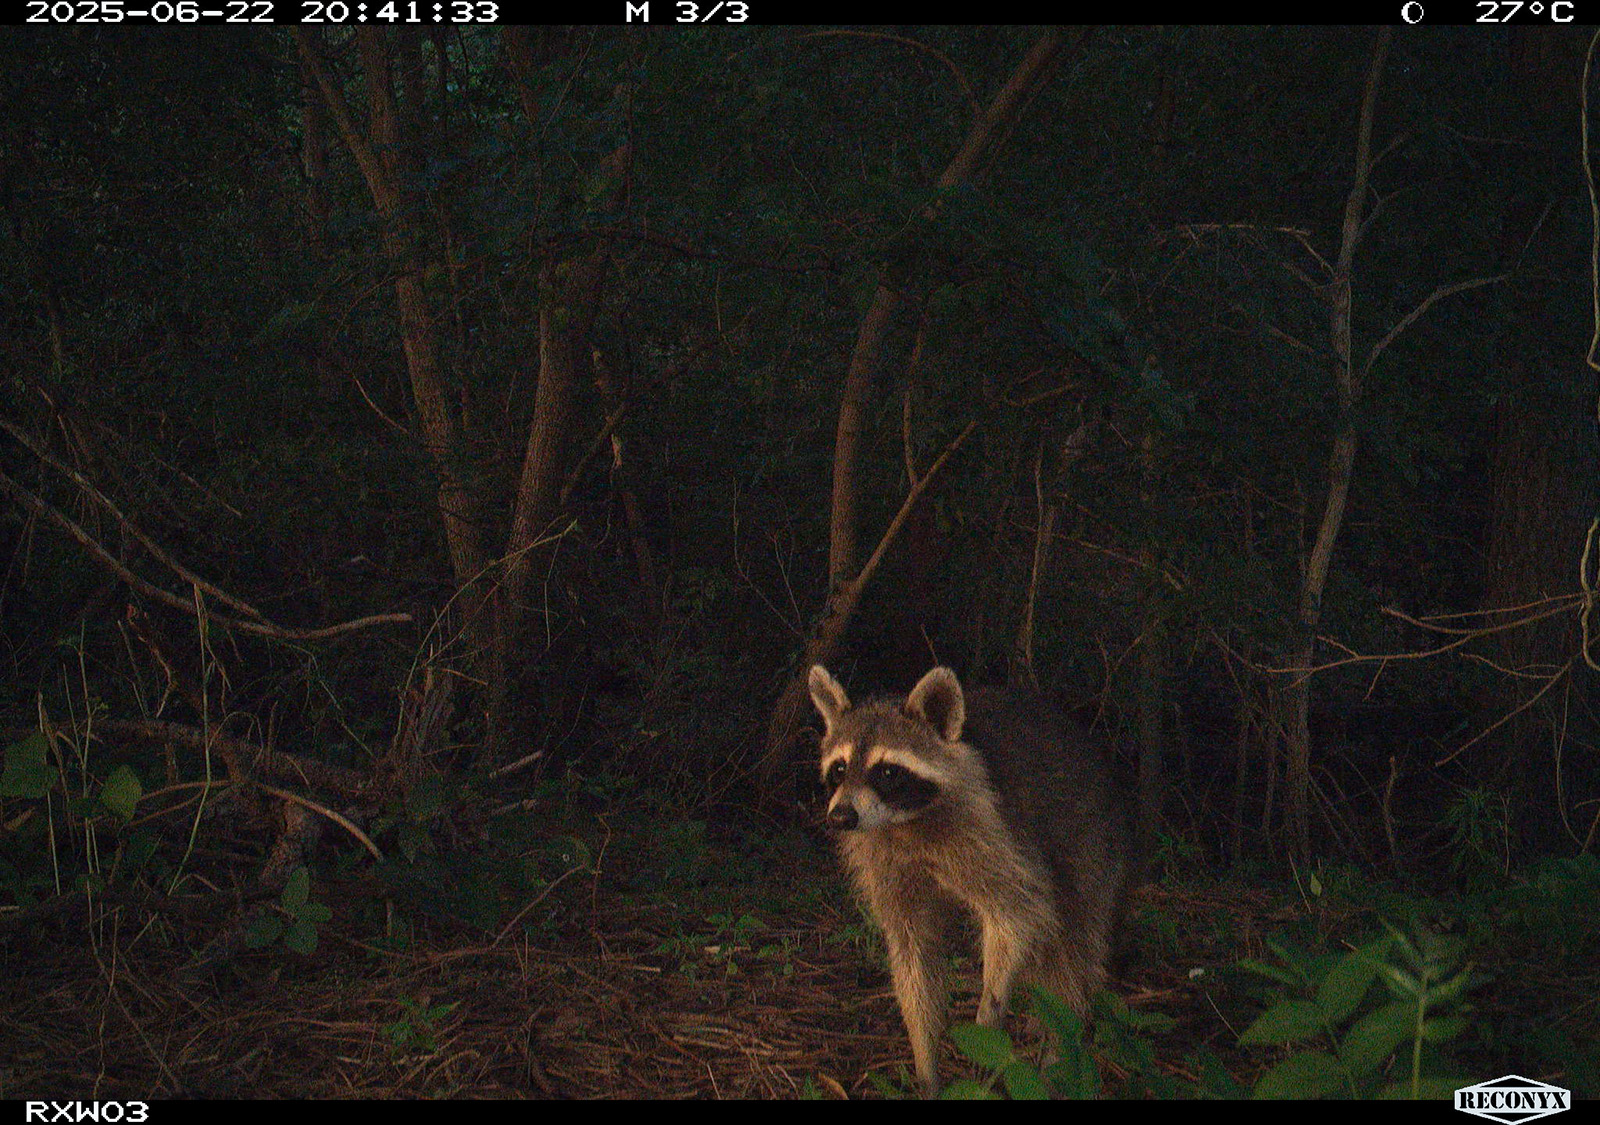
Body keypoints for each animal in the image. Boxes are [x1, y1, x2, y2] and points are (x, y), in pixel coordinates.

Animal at [810, 664, 1129, 1095]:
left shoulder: (993, 832)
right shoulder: (886, 862)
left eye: (888, 772)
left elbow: (1019, 914)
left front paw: (989, 1014)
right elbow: (912, 955)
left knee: (1073, 951)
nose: (841, 817)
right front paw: (924, 1057)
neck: (907, 823)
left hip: (1088, 839)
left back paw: (1060, 1052)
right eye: (839, 768)